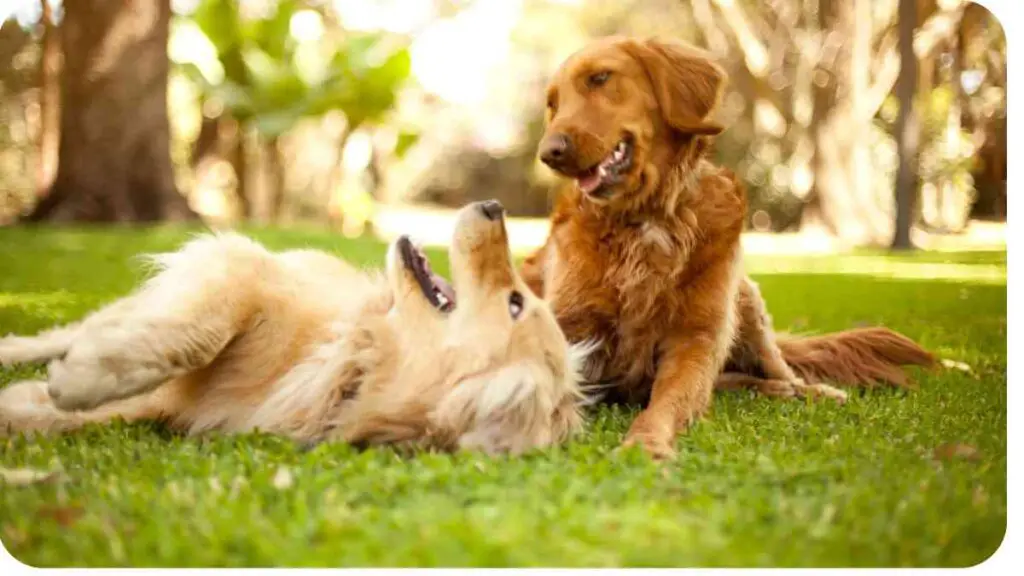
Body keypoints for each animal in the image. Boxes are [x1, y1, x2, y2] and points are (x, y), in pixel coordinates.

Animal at [0, 200, 589, 453]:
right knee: (64, 333)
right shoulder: (243, 269)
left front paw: (38, 401)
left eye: (515, 302)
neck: (354, 363)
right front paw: (85, 377)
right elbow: (200, 331)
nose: (494, 204)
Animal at [524, 35, 933, 457]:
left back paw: (809, 390)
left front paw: (646, 443)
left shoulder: (696, 339)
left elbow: (667, 402)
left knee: (777, 370)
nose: (549, 153)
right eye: (553, 104)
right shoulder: (568, 326)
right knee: (735, 381)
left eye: (600, 78)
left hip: (747, 303)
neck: (648, 219)